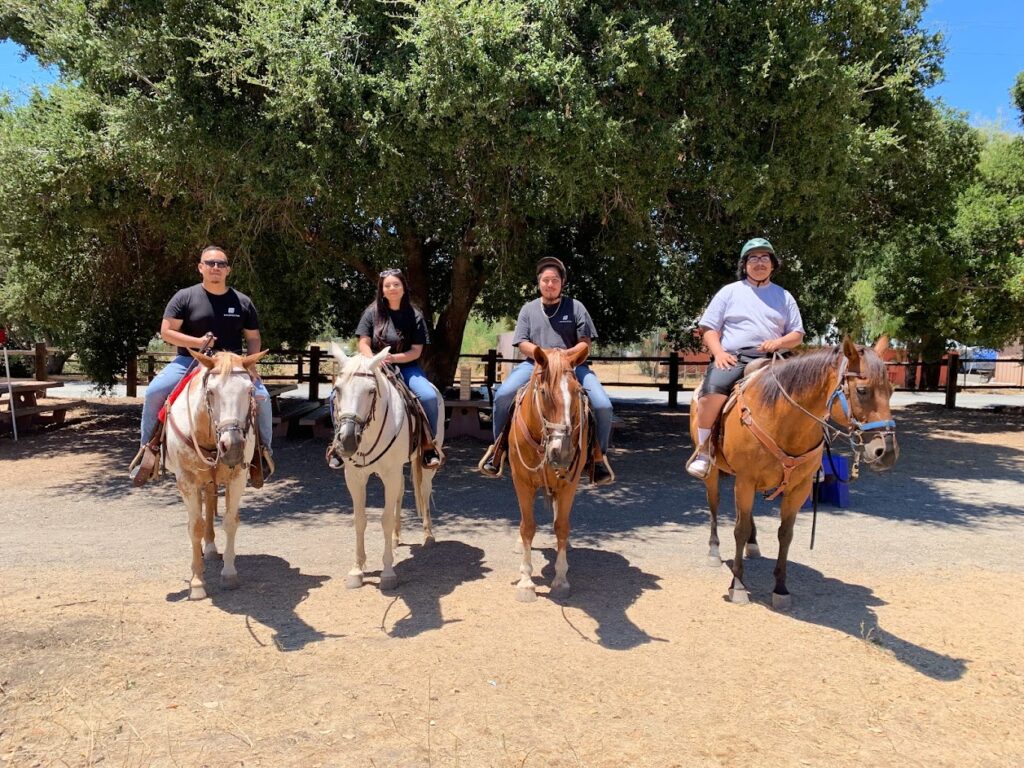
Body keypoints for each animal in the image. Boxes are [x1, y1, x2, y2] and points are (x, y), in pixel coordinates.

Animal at [163, 350, 268, 602]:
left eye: (249, 390)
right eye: (210, 391)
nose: (234, 446)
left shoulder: (237, 478)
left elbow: (230, 522)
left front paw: (229, 574)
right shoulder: (186, 481)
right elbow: (194, 527)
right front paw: (197, 583)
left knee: (210, 503)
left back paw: (210, 548)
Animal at [325, 346, 442, 593]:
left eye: (371, 391)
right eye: (337, 389)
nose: (347, 441)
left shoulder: (390, 473)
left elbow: (385, 520)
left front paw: (388, 573)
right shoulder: (355, 477)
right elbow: (360, 520)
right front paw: (357, 571)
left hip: (425, 466)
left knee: (424, 491)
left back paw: (428, 535)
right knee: (400, 492)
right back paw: (397, 537)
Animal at [507, 346, 589, 606]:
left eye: (577, 391)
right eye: (543, 392)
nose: (562, 452)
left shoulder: (569, 484)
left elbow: (561, 526)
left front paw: (560, 580)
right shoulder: (521, 482)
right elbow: (527, 527)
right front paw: (526, 582)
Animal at [688, 339, 897, 610]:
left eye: (891, 391)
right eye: (862, 390)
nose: (886, 452)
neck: (782, 418)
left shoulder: (798, 488)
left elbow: (785, 535)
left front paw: (780, 589)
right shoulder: (745, 480)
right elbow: (738, 530)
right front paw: (738, 587)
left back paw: (752, 545)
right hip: (714, 474)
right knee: (714, 506)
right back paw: (714, 551)